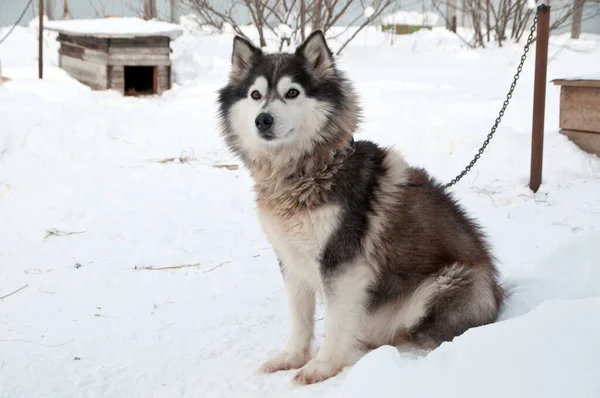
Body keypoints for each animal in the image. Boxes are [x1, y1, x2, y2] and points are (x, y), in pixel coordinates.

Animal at [218, 31, 504, 386]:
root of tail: (497, 290)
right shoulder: (291, 260)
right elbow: (300, 318)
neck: (309, 172)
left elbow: (336, 320)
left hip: (448, 282)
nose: (263, 120)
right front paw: (292, 357)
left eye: (292, 92)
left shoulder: (342, 264)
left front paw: (323, 366)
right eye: (255, 95)